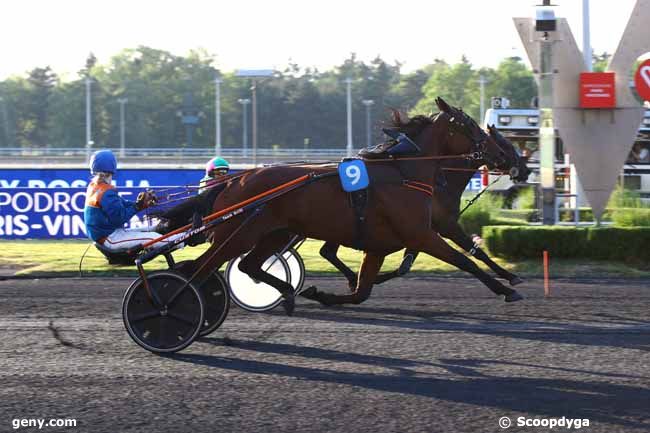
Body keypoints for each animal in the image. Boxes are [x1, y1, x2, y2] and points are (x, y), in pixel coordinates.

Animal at [316, 115, 528, 292]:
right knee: (327, 251)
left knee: (327, 251)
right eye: (507, 145)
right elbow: (473, 252)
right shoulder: (442, 226)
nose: (525, 170)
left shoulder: (424, 229)